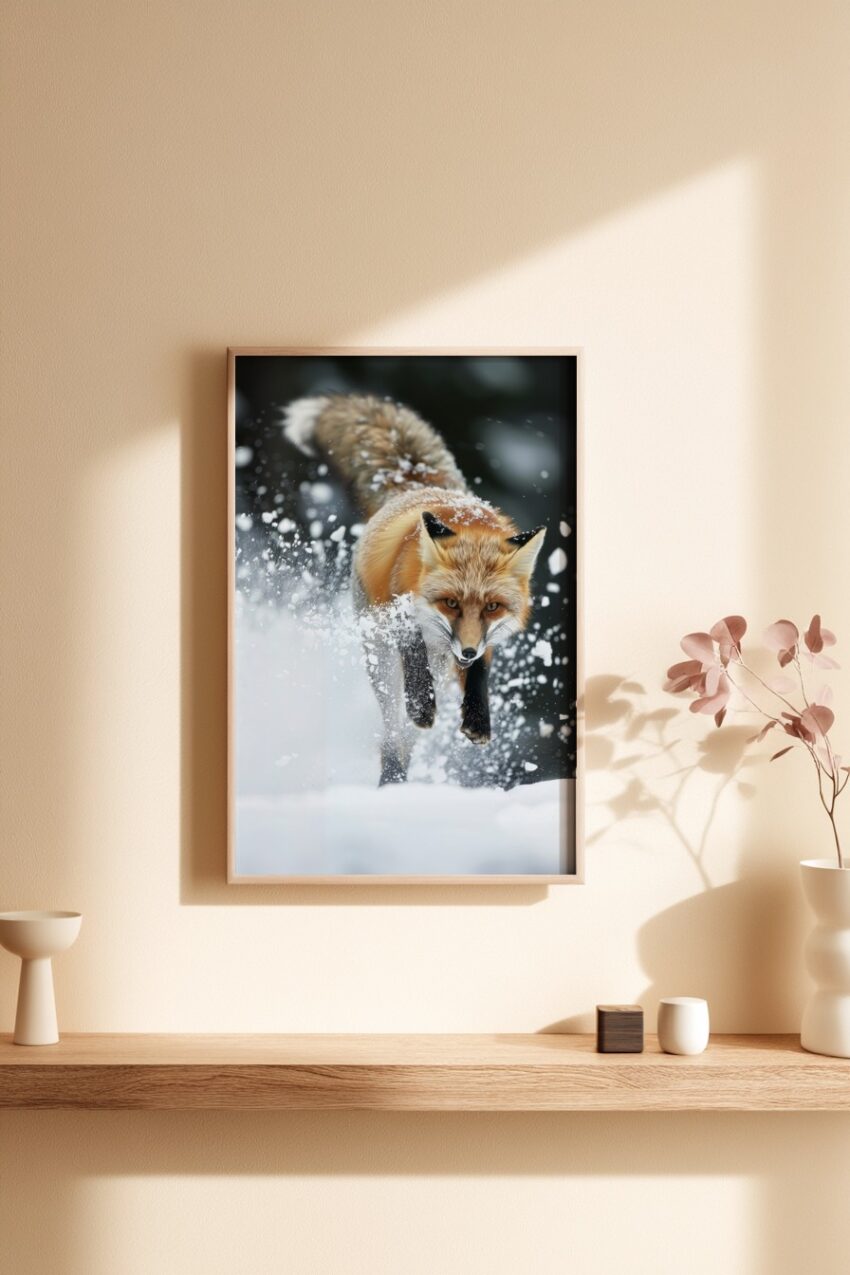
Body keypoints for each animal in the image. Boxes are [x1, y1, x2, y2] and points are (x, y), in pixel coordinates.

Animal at [284, 393, 546, 785]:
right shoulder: (402, 617)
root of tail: (422, 485)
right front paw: (423, 706)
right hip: (380, 661)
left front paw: (478, 720)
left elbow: (479, 674)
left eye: (492, 607)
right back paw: (392, 777)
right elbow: (414, 661)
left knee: (404, 736)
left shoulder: (483, 642)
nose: (466, 651)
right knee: (394, 730)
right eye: (450, 602)